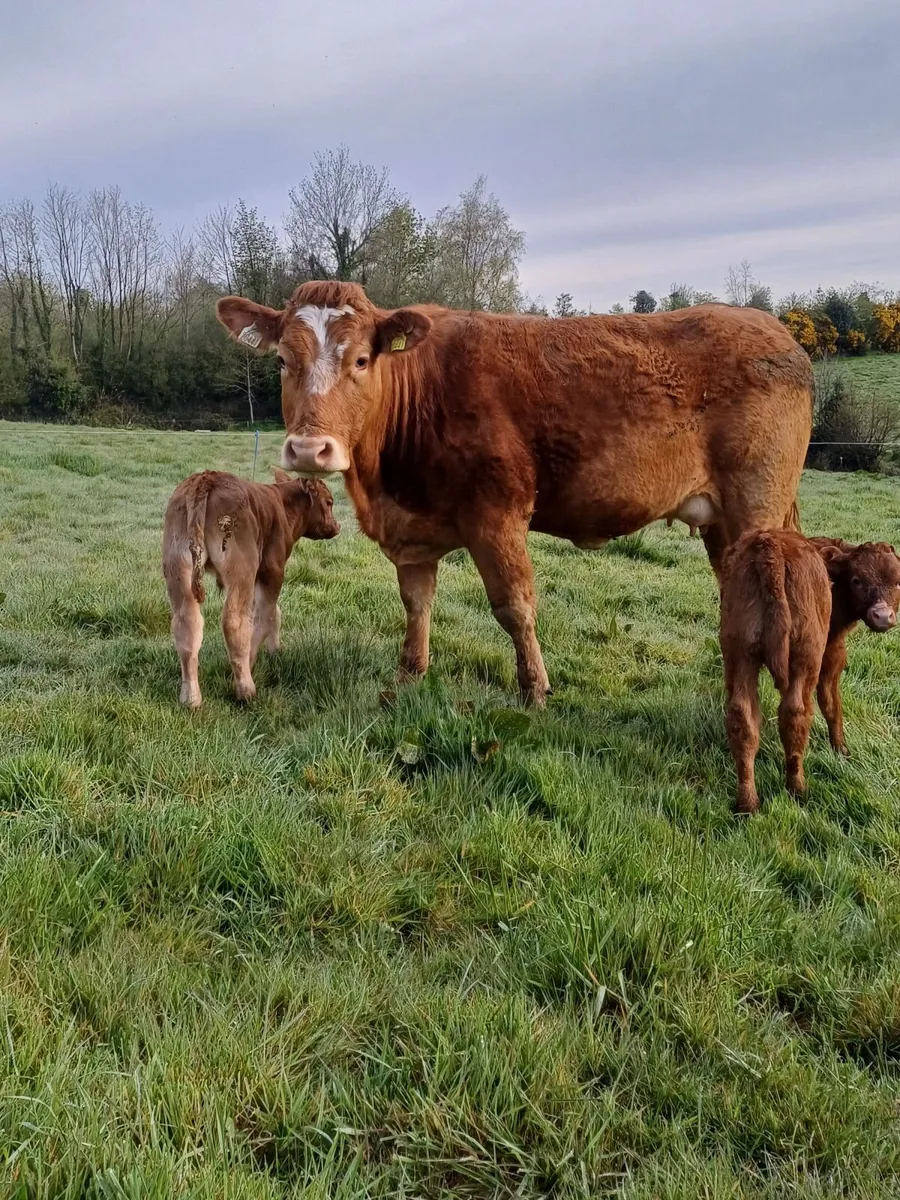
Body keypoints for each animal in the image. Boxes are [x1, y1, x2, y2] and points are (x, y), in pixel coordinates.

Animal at [162, 468, 339, 707]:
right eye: (329, 502)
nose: (336, 526)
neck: (283, 505)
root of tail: (206, 478)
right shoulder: (272, 569)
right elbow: (266, 615)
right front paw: (255, 659)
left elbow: (273, 612)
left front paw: (276, 650)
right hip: (241, 567)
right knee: (234, 622)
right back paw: (246, 689)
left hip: (178, 567)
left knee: (187, 623)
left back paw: (191, 699)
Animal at [216, 281, 813, 704]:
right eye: (282, 360)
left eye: (360, 359)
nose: (309, 450)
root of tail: (776, 332)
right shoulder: (413, 531)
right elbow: (416, 602)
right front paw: (409, 678)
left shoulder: (497, 517)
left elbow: (515, 607)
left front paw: (535, 691)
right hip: (722, 525)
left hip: (755, 507)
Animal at [720, 530, 900, 813]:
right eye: (857, 580)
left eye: (898, 582)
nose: (882, 616)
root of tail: (769, 544)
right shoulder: (832, 651)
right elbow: (831, 702)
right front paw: (841, 749)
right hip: (806, 654)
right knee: (796, 712)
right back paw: (797, 789)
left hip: (738, 651)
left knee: (742, 716)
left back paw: (748, 802)